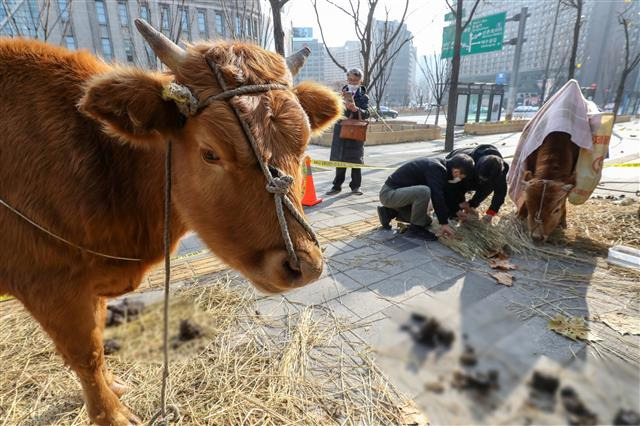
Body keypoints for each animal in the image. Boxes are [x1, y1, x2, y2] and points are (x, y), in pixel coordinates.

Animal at [0, 20, 342, 426]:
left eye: (303, 146)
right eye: (210, 153)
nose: (304, 266)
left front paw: (113, 387)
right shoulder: (51, 286)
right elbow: (88, 353)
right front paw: (111, 414)